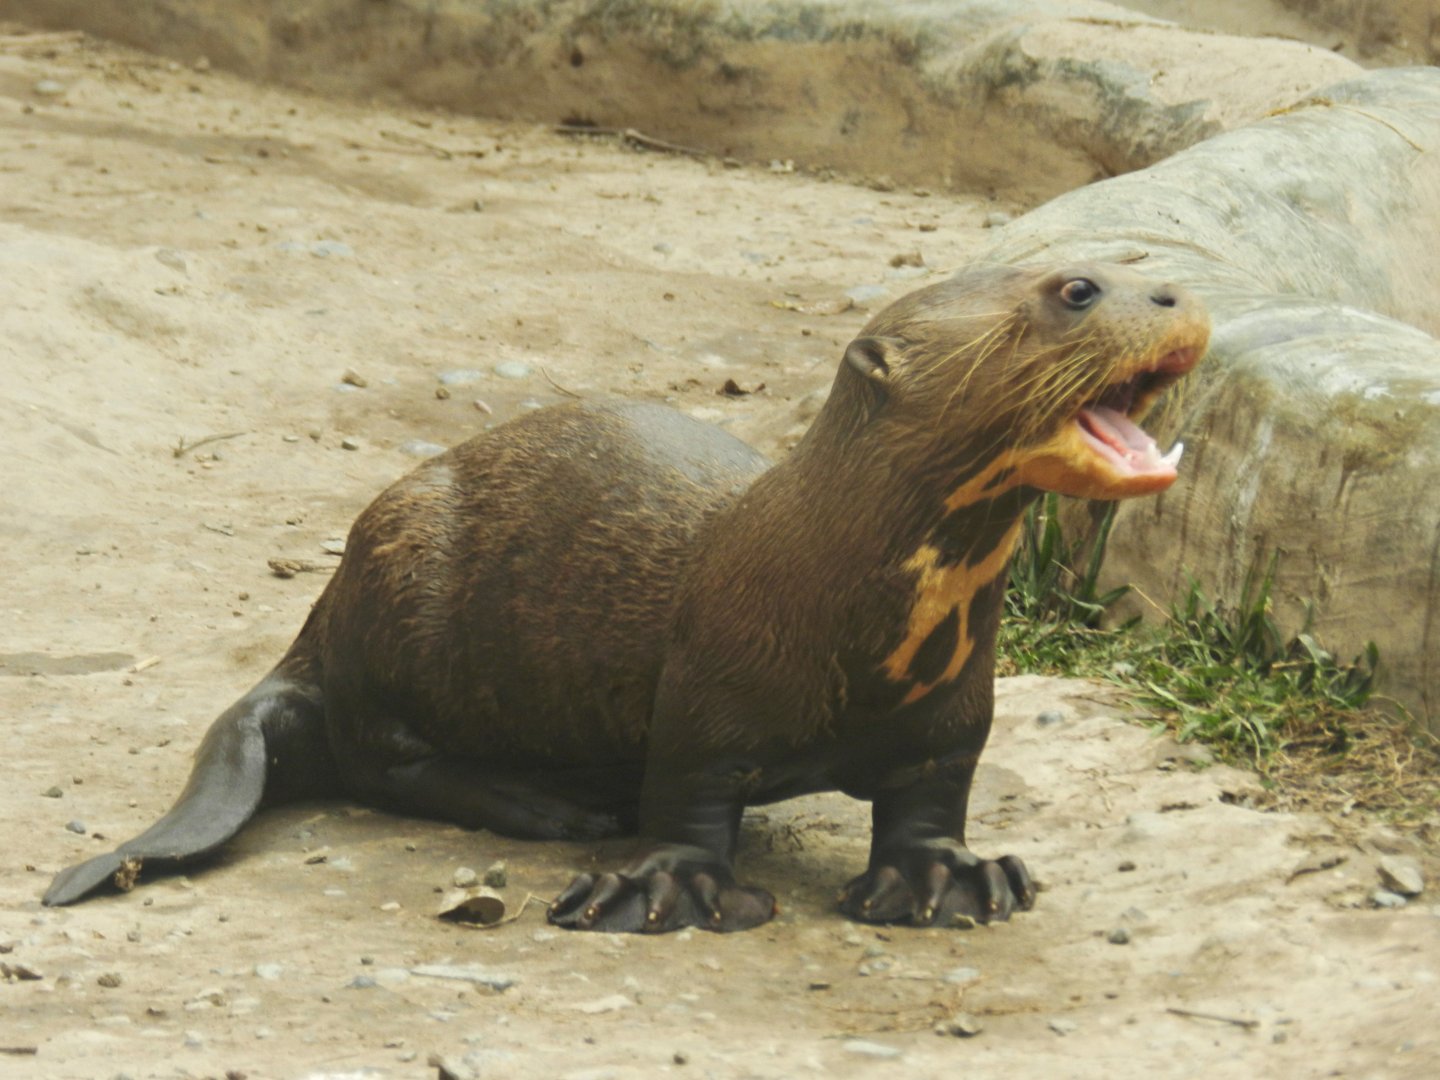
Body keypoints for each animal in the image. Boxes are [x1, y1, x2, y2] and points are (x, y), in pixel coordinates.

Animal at [44, 262, 1209, 933]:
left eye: (1137, 268)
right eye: (1075, 291)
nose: (1179, 296)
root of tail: (318, 625)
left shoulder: (955, 712)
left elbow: (931, 799)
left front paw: (946, 880)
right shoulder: (706, 687)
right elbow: (686, 794)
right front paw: (672, 891)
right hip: (404, 584)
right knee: (381, 757)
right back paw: (548, 806)